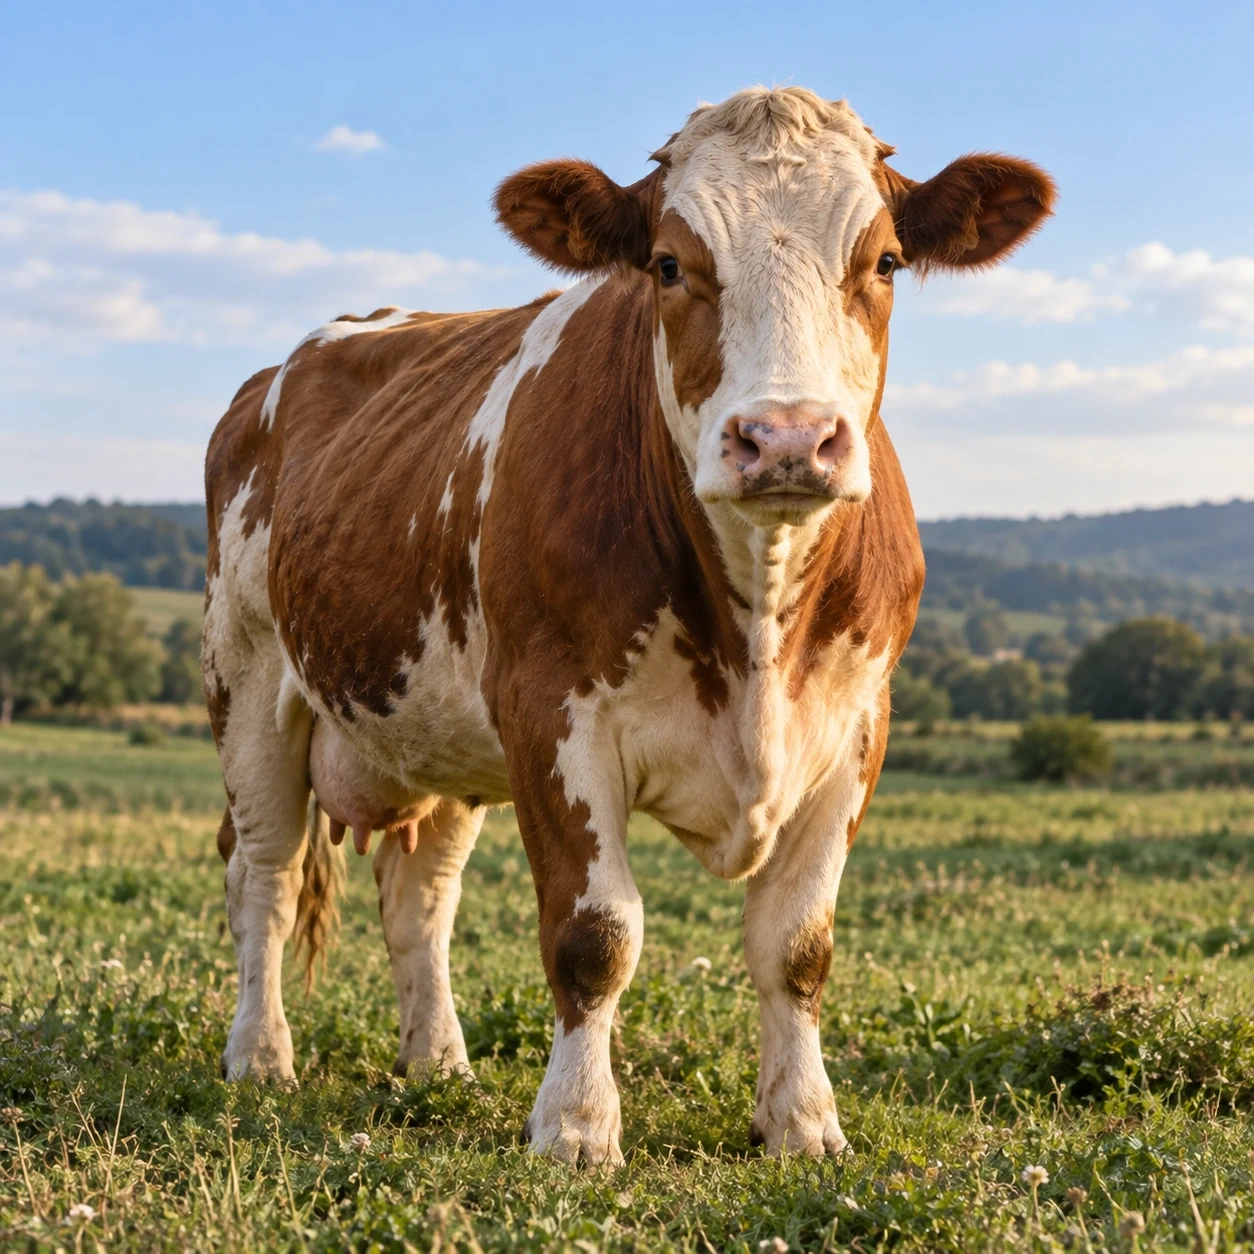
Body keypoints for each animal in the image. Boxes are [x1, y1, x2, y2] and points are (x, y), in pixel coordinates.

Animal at [204, 86, 1053, 1164]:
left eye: (887, 262)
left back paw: (438, 1062)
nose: (786, 439)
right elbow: (595, 936)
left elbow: (797, 944)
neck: (756, 617)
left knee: (421, 899)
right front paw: (576, 1126)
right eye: (669, 264)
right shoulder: (552, 717)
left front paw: (802, 1122)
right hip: (248, 684)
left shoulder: (857, 729)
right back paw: (259, 1057)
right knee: (262, 877)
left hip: (434, 730)